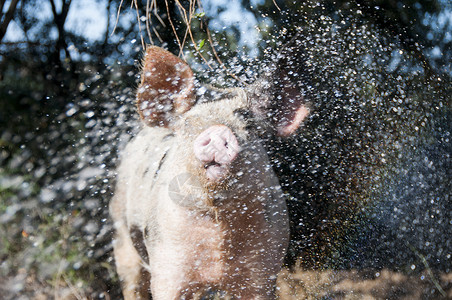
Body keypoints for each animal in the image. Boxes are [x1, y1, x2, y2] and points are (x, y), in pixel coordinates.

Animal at [110, 45, 310, 298]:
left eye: (248, 124)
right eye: (187, 124)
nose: (218, 131)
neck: (218, 225)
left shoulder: (264, 268)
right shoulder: (167, 263)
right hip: (121, 233)